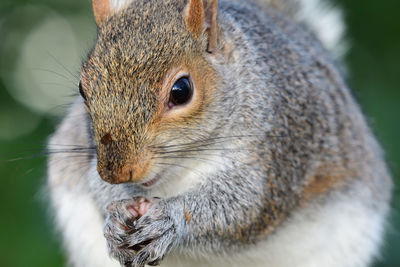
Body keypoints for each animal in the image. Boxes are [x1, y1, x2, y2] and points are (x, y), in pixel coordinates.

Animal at [46, 0, 390, 267]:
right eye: (83, 89)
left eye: (181, 91)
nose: (116, 173)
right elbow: (96, 187)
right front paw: (115, 215)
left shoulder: (281, 146)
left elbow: (245, 206)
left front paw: (168, 219)